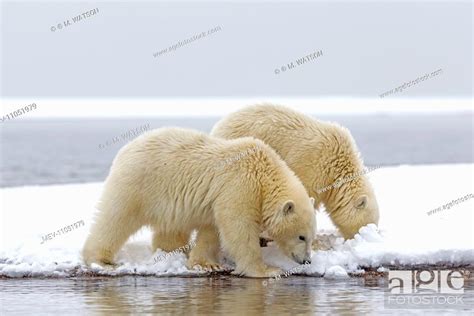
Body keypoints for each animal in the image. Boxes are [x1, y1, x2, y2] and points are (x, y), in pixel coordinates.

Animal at [83, 127, 316, 278]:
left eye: (311, 237)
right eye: (301, 236)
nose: (307, 260)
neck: (264, 175)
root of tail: (126, 149)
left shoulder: (219, 198)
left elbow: (211, 230)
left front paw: (205, 264)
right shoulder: (239, 187)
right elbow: (238, 230)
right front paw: (267, 270)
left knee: (170, 229)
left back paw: (170, 252)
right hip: (138, 184)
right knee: (116, 217)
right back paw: (101, 259)